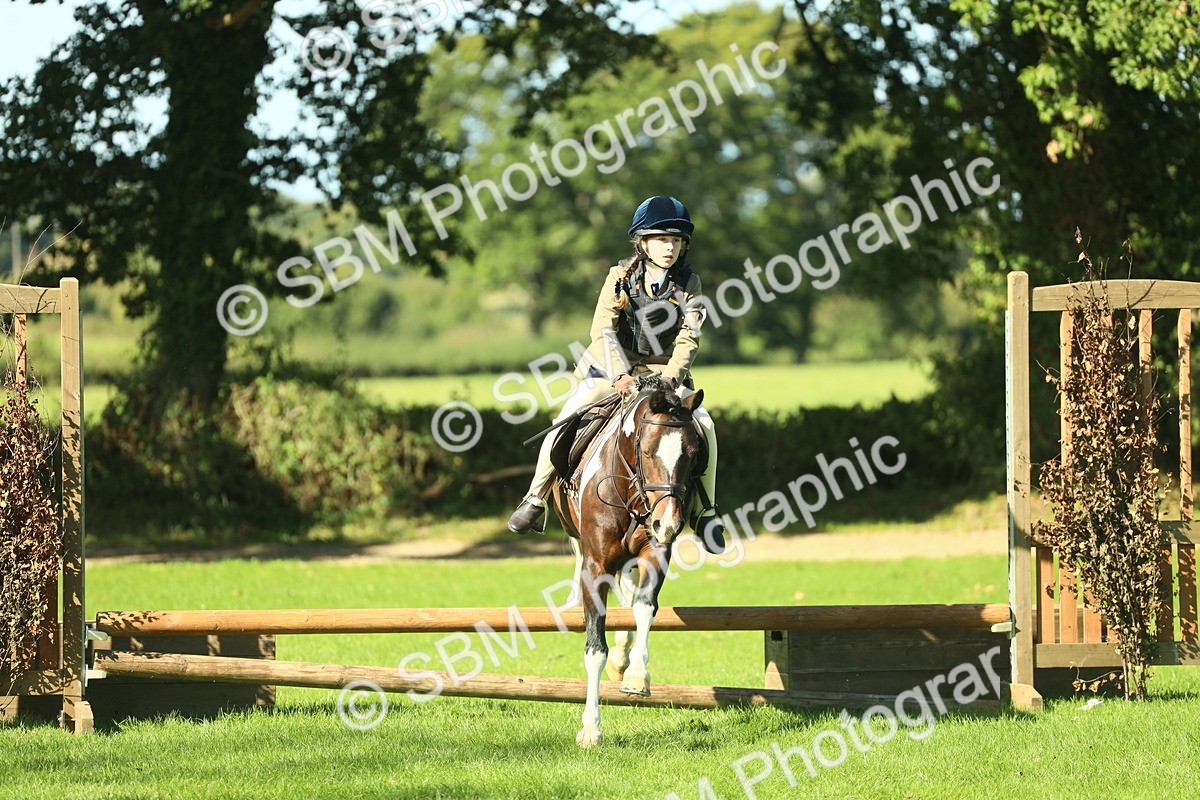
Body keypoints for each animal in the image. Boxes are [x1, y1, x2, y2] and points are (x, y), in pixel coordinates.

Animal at [549, 373, 706, 748]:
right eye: (646, 451)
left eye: (694, 454)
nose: (668, 523)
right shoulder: (594, 566)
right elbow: (595, 648)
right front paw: (590, 729)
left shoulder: (655, 552)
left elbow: (644, 607)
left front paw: (636, 675)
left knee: (629, 595)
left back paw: (624, 655)